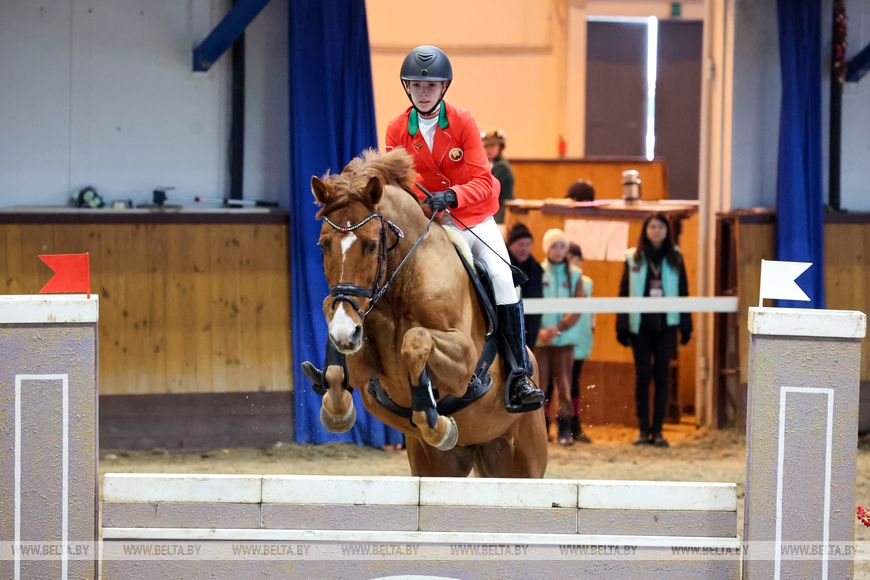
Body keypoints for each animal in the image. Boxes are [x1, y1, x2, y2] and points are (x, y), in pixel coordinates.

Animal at [309, 148, 547, 478]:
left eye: (371, 245)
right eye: (323, 245)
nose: (346, 332)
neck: (398, 286)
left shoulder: (464, 360)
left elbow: (416, 339)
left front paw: (435, 420)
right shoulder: (363, 356)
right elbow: (337, 368)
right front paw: (337, 411)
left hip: (521, 461)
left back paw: (522, 390)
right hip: (440, 465)